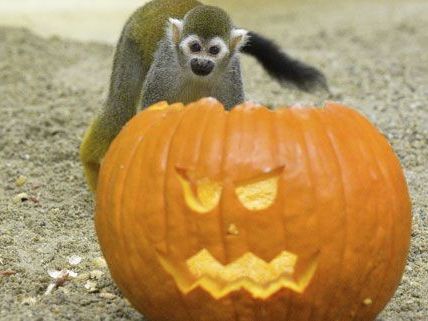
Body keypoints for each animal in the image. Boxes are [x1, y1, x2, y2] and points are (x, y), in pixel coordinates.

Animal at [80, 0, 328, 191]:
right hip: (130, 41)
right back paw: (91, 164)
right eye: (195, 47)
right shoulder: (164, 69)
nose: (201, 62)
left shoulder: (230, 75)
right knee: (120, 105)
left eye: (214, 51)